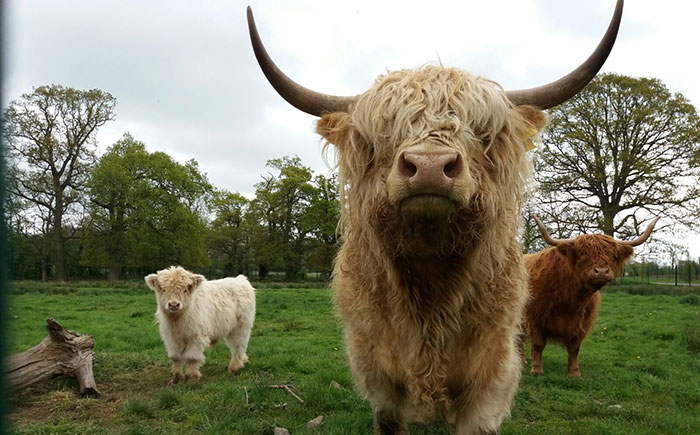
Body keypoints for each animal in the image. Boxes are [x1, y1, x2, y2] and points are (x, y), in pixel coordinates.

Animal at [246, 1, 624, 434]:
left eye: (481, 131)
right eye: (382, 132)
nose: (429, 166)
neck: (430, 286)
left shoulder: (490, 379)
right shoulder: (378, 375)